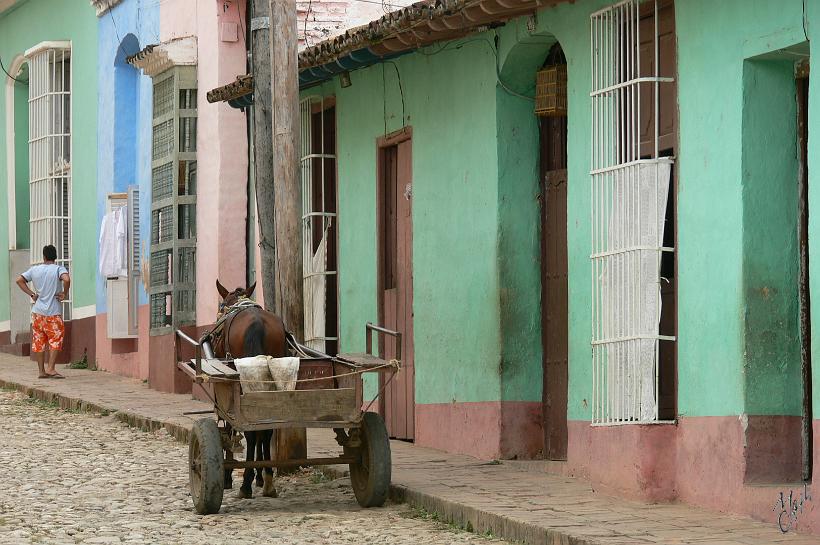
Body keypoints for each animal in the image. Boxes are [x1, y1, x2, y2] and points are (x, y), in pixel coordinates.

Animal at [211, 280, 288, 498]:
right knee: (266, 428)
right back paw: (268, 481)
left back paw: (245, 484)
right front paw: (260, 476)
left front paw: (229, 476)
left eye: (222, 305)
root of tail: (257, 323)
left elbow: (229, 425)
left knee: (251, 432)